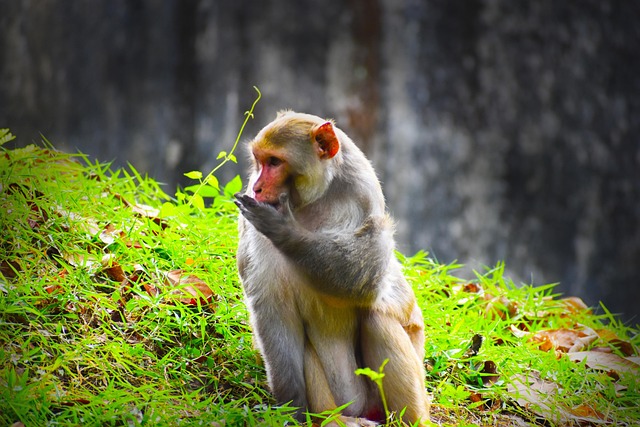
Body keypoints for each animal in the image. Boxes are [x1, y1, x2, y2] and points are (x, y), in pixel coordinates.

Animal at [235, 111, 430, 426]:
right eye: (260, 161)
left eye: (275, 162)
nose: (257, 187)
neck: (313, 200)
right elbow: (272, 306)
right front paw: (292, 407)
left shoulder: (363, 192)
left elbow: (367, 280)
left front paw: (288, 234)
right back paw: (331, 418)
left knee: (377, 317)